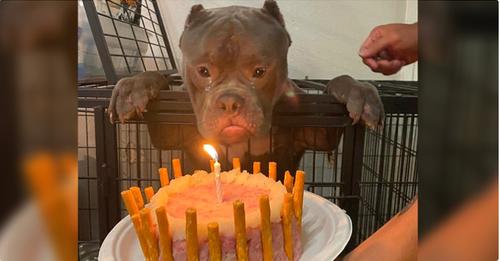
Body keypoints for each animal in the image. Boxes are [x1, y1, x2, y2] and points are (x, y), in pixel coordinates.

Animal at [108, 0, 382, 179]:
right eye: (203, 71)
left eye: (260, 71)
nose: (230, 101)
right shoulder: (170, 131)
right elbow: (160, 82)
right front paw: (135, 86)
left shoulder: (316, 132)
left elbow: (337, 86)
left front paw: (358, 91)